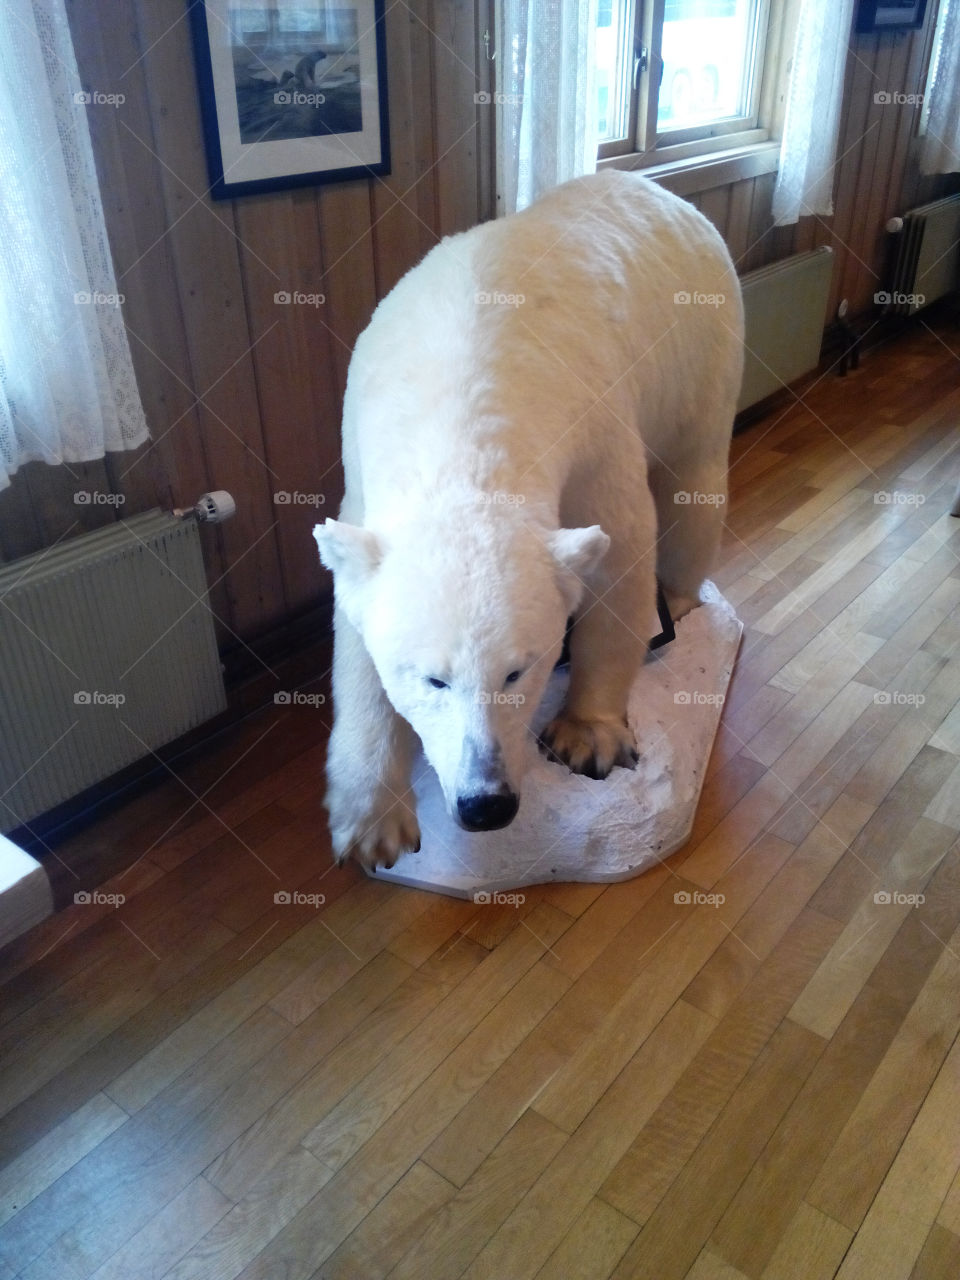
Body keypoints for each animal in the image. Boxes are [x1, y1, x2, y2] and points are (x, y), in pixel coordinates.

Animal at [314, 169, 744, 870]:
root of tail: (662, 191)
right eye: (433, 679)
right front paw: (374, 823)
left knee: (694, 481)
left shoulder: (592, 428)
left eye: (518, 671)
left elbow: (621, 552)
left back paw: (678, 601)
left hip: (703, 347)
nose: (485, 805)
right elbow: (354, 637)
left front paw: (588, 736)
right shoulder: (362, 467)